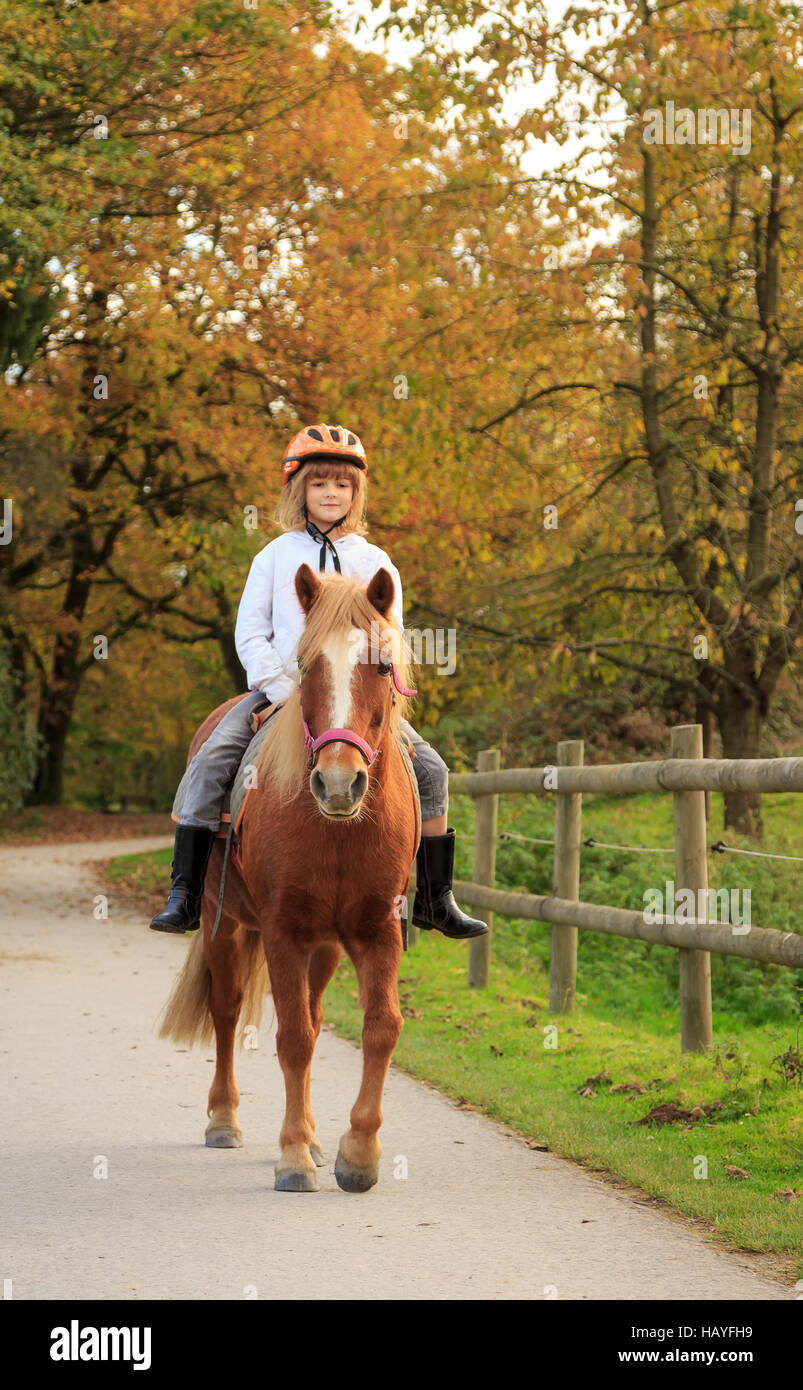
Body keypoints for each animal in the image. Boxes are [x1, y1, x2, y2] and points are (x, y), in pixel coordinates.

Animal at [156, 564, 419, 1195]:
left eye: (382, 665)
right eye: (304, 663)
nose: (339, 783)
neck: (340, 831)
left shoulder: (377, 931)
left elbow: (380, 1027)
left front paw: (357, 1154)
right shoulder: (281, 932)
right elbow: (292, 1038)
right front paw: (294, 1156)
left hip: (325, 946)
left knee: (318, 1017)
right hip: (223, 923)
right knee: (227, 1009)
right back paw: (224, 1119)